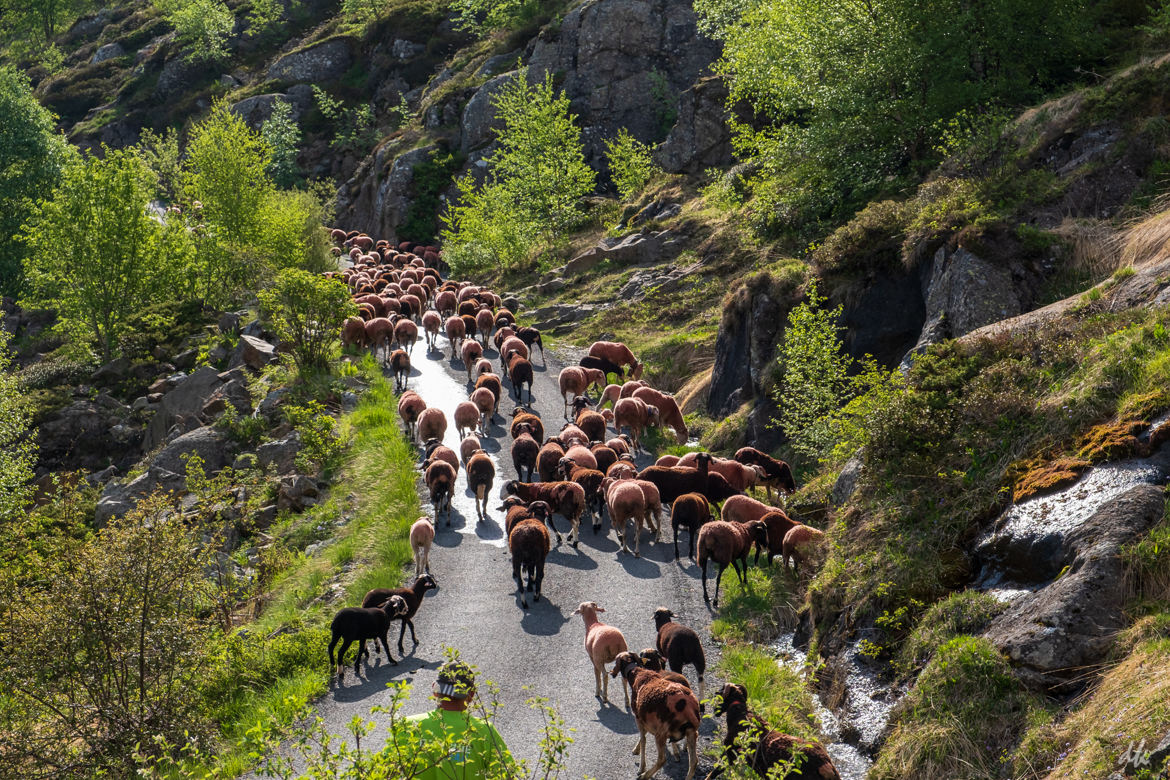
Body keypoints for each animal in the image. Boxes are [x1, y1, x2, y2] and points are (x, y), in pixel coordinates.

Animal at [706, 682, 837, 780]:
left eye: (719, 695)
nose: (715, 711)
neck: (739, 714)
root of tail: (826, 765)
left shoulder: (730, 750)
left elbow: (717, 769)